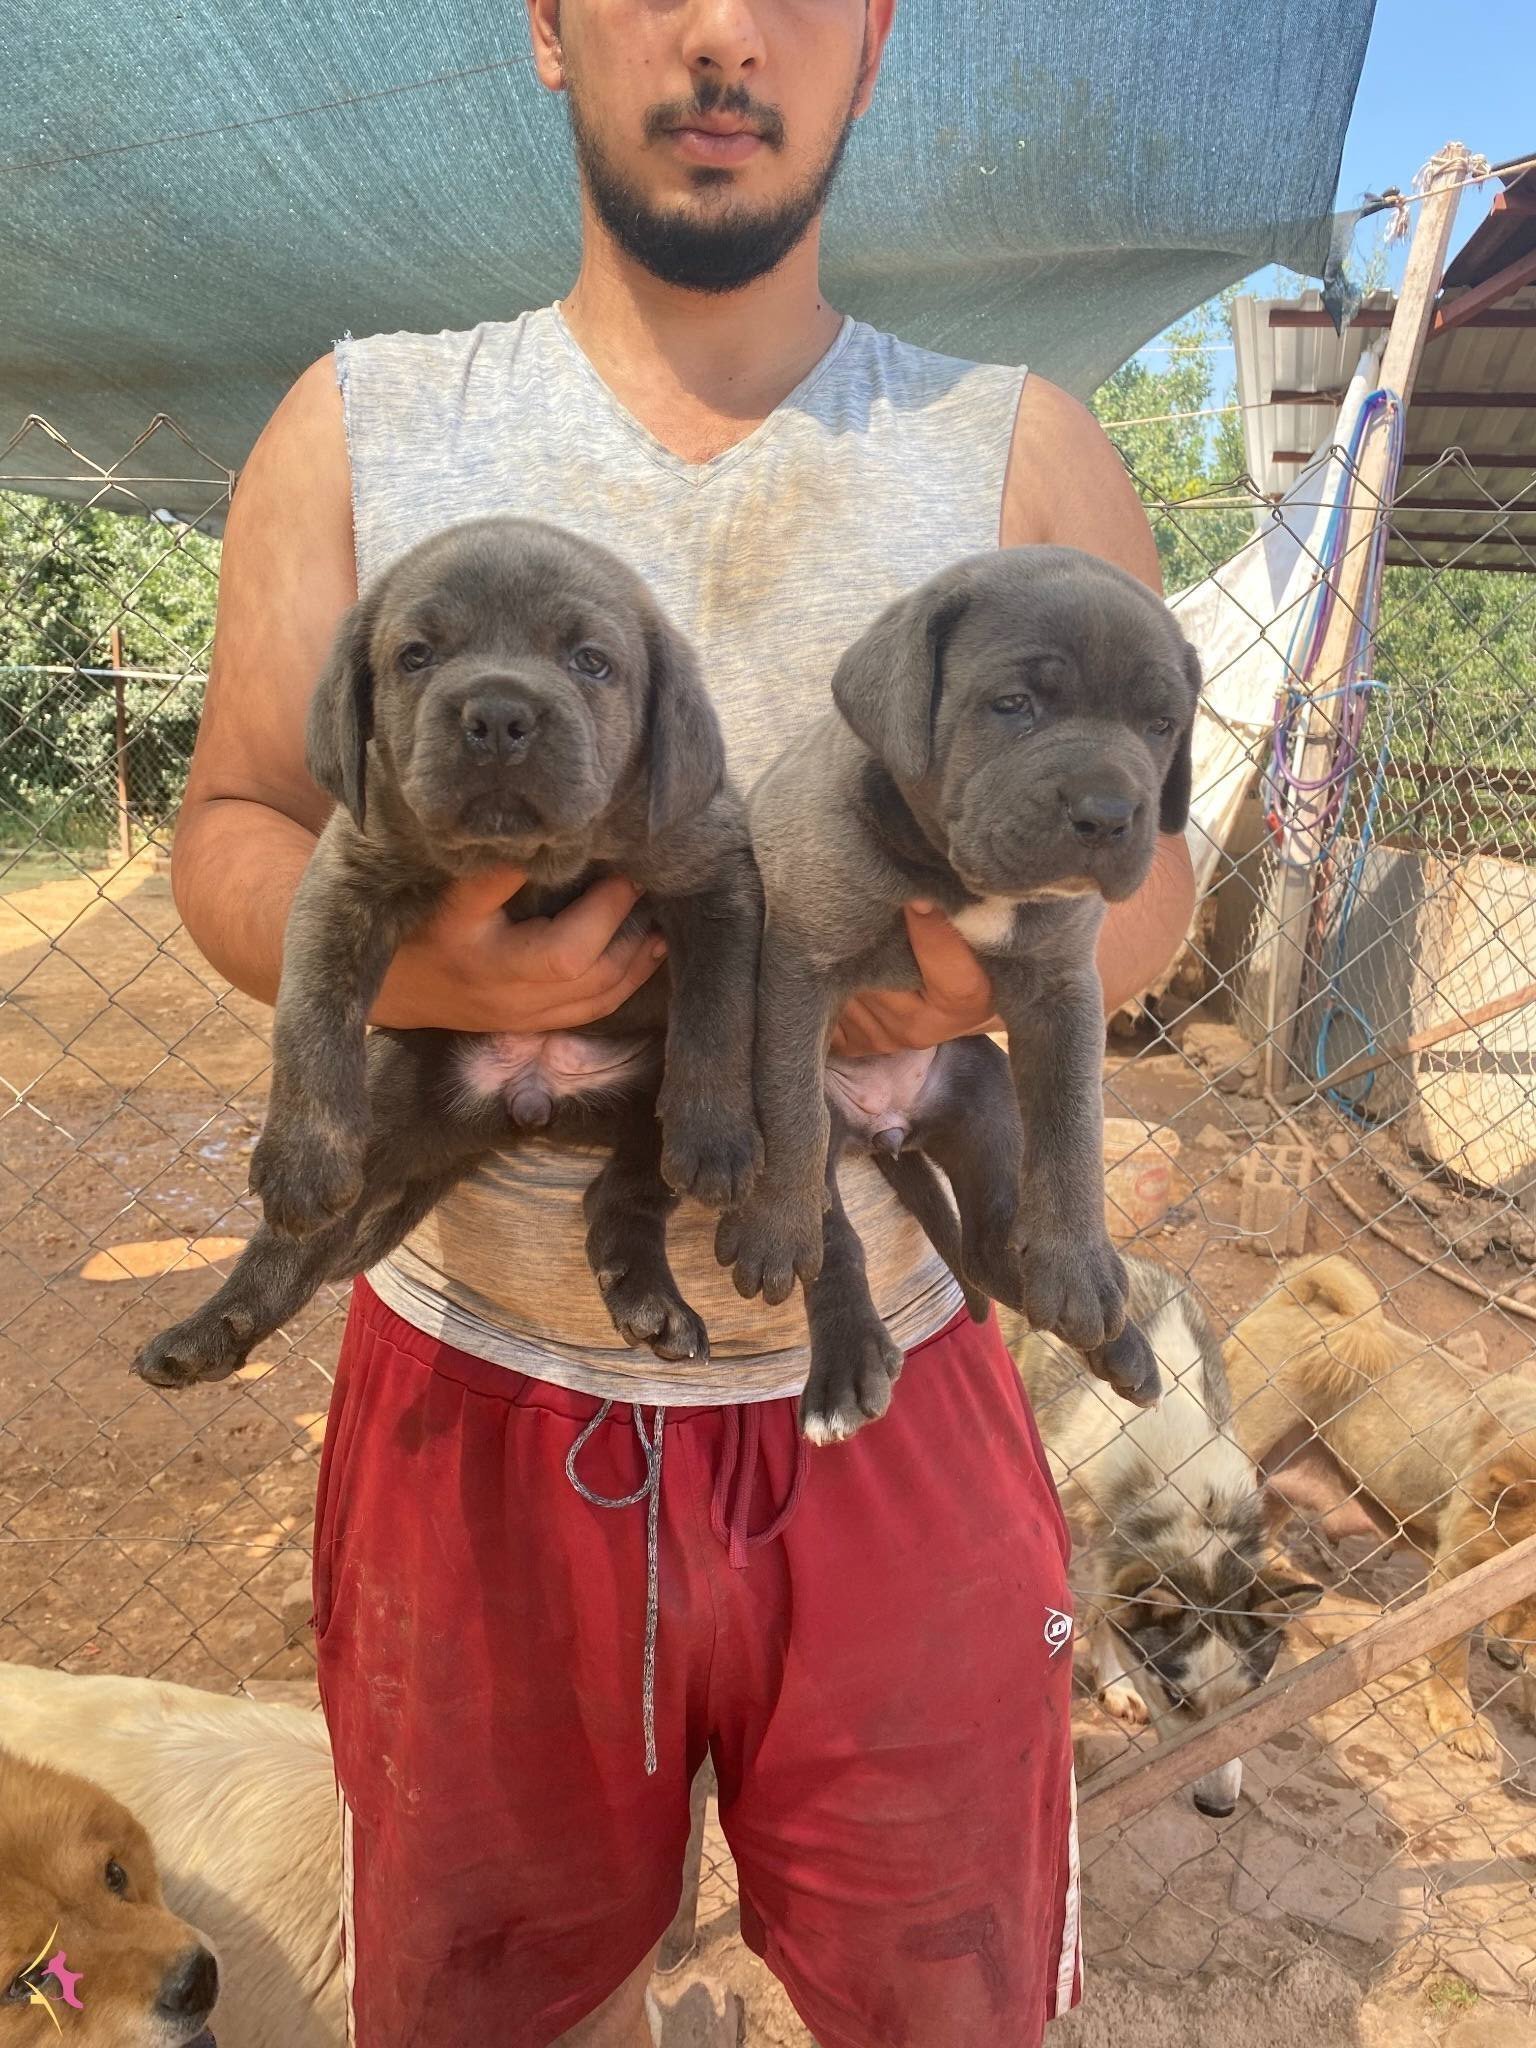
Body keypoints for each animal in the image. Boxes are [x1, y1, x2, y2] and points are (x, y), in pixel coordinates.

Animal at [134, 515, 763, 1387]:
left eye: (590, 661)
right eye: (416, 656)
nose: (498, 715)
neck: (532, 862)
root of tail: (523, 1104)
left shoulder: (712, 876)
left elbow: (718, 1013)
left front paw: (719, 1135)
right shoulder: (345, 878)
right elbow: (310, 1018)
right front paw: (301, 1153)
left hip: (641, 1112)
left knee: (623, 1196)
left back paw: (650, 1299)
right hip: (390, 1113)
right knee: (290, 1249)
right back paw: (206, 1332)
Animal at [716, 545, 1203, 1440]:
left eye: (1161, 727)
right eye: (1013, 706)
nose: (1109, 812)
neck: (951, 874)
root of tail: (889, 1129)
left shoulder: (1063, 992)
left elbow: (1073, 1126)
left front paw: (1081, 1268)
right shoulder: (799, 966)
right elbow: (790, 1115)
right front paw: (772, 1226)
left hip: (982, 1095)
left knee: (989, 1241)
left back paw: (1109, 1337)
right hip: (856, 1131)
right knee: (834, 1235)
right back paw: (843, 1365)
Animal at [1006, 1258, 1322, 1816]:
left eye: (1248, 1696)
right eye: (1178, 1698)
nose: (1218, 1807)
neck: (1195, 1502)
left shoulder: (1114, 1551)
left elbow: (1104, 1613)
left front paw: (1112, 1682)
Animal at [1225, 1254, 1536, 1761]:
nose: (1505, 1659)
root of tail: (1296, 1300)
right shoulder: (1457, 1567)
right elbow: (1452, 1652)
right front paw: (1457, 1719)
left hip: (1279, 1476)